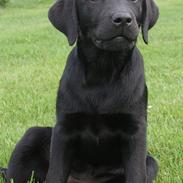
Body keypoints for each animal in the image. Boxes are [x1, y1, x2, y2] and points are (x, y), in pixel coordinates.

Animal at [0, 0, 159, 182]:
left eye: (135, 1)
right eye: (93, 1)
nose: (124, 19)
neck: (102, 72)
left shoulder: (135, 130)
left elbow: (136, 174)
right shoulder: (63, 130)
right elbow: (55, 173)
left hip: (151, 163)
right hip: (31, 137)